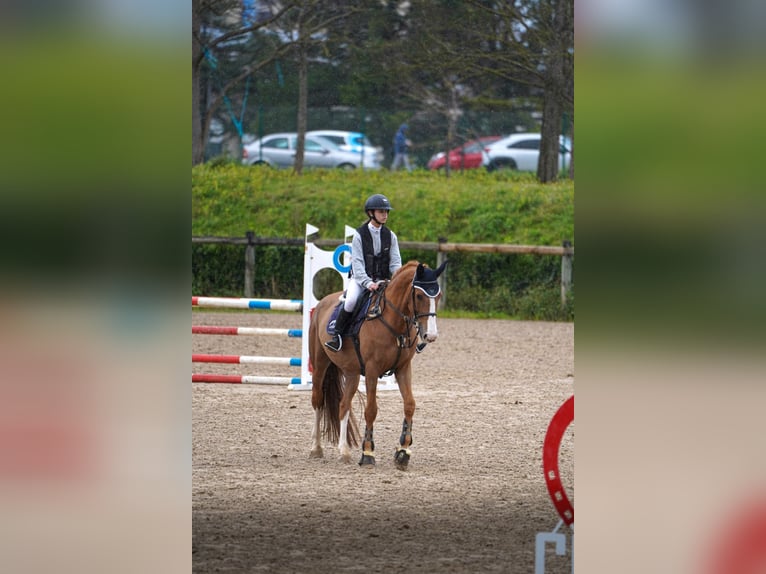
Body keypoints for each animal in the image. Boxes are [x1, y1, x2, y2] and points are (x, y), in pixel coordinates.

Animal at [308, 264, 448, 470]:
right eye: (419, 295)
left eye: (438, 296)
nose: (430, 335)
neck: (394, 323)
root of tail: (322, 303)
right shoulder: (372, 371)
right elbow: (371, 410)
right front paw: (367, 453)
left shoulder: (403, 369)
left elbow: (410, 405)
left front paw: (403, 451)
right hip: (319, 365)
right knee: (318, 401)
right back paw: (316, 448)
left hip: (352, 374)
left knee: (343, 405)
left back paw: (344, 451)